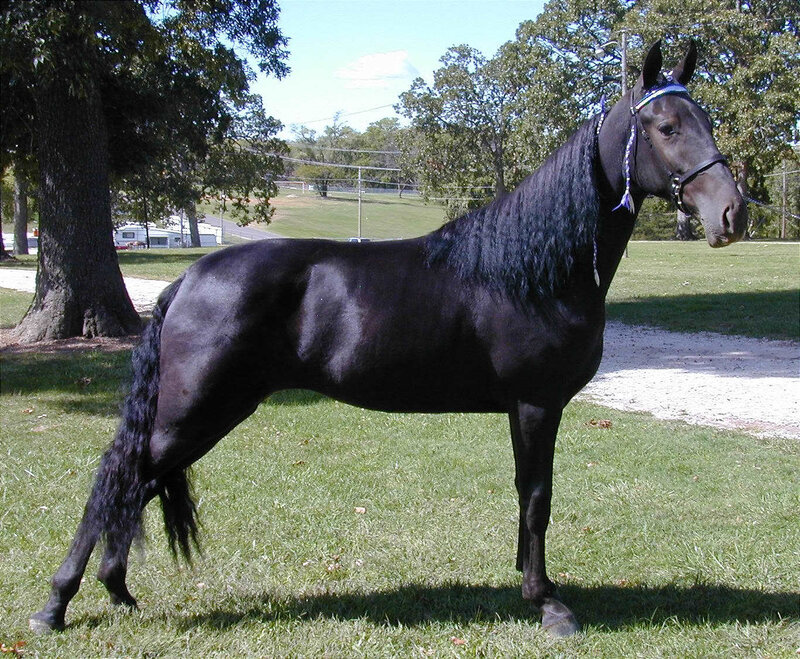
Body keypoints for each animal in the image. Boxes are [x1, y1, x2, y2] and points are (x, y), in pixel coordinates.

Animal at [30, 41, 747, 637]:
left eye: (706, 119)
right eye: (666, 127)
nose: (732, 214)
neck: (532, 268)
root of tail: (186, 280)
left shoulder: (526, 410)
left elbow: (526, 496)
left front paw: (526, 585)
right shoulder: (536, 405)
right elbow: (538, 498)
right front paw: (548, 603)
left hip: (206, 412)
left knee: (138, 481)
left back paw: (115, 590)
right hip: (193, 410)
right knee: (118, 475)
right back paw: (55, 605)